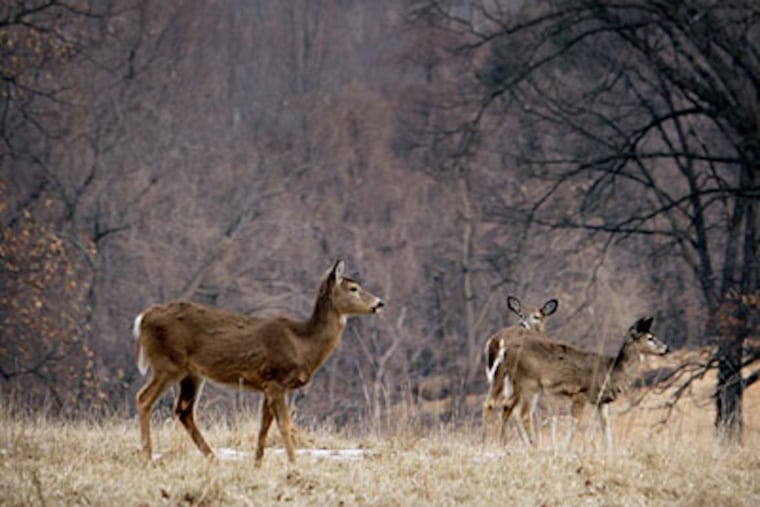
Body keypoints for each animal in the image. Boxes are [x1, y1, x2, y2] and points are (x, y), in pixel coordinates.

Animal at [133, 259, 384, 465]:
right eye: (353, 288)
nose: (380, 303)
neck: (302, 343)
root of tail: (143, 318)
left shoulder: (267, 385)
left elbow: (263, 427)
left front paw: (257, 464)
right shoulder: (277, 380)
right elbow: (284, 426)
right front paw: (294, 463)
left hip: (191, 373)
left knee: (183, 410)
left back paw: (213, 458)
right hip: (167, 363)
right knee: (144, 398)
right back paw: (148, 456)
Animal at [482, 296, 558, 444]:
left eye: (536, 316)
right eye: (521, 314)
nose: (522, 323)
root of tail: (498, 341)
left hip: (498, 377)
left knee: (490, 403)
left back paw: (486, 441)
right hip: (518, 378)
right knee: (513, 408)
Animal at [497, 316, 668, 448]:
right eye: (650, 338)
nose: (666, 348)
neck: (611, 372)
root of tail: (506, 352)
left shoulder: (601, 401)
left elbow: (606, 426)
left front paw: (610, 450)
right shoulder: (579, 394)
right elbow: (575, 423)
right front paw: (566, 448)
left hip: (516, 385)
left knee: (507, 407)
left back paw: (507, 444)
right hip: (529, 384)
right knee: (523, 413)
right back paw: (533, 446)